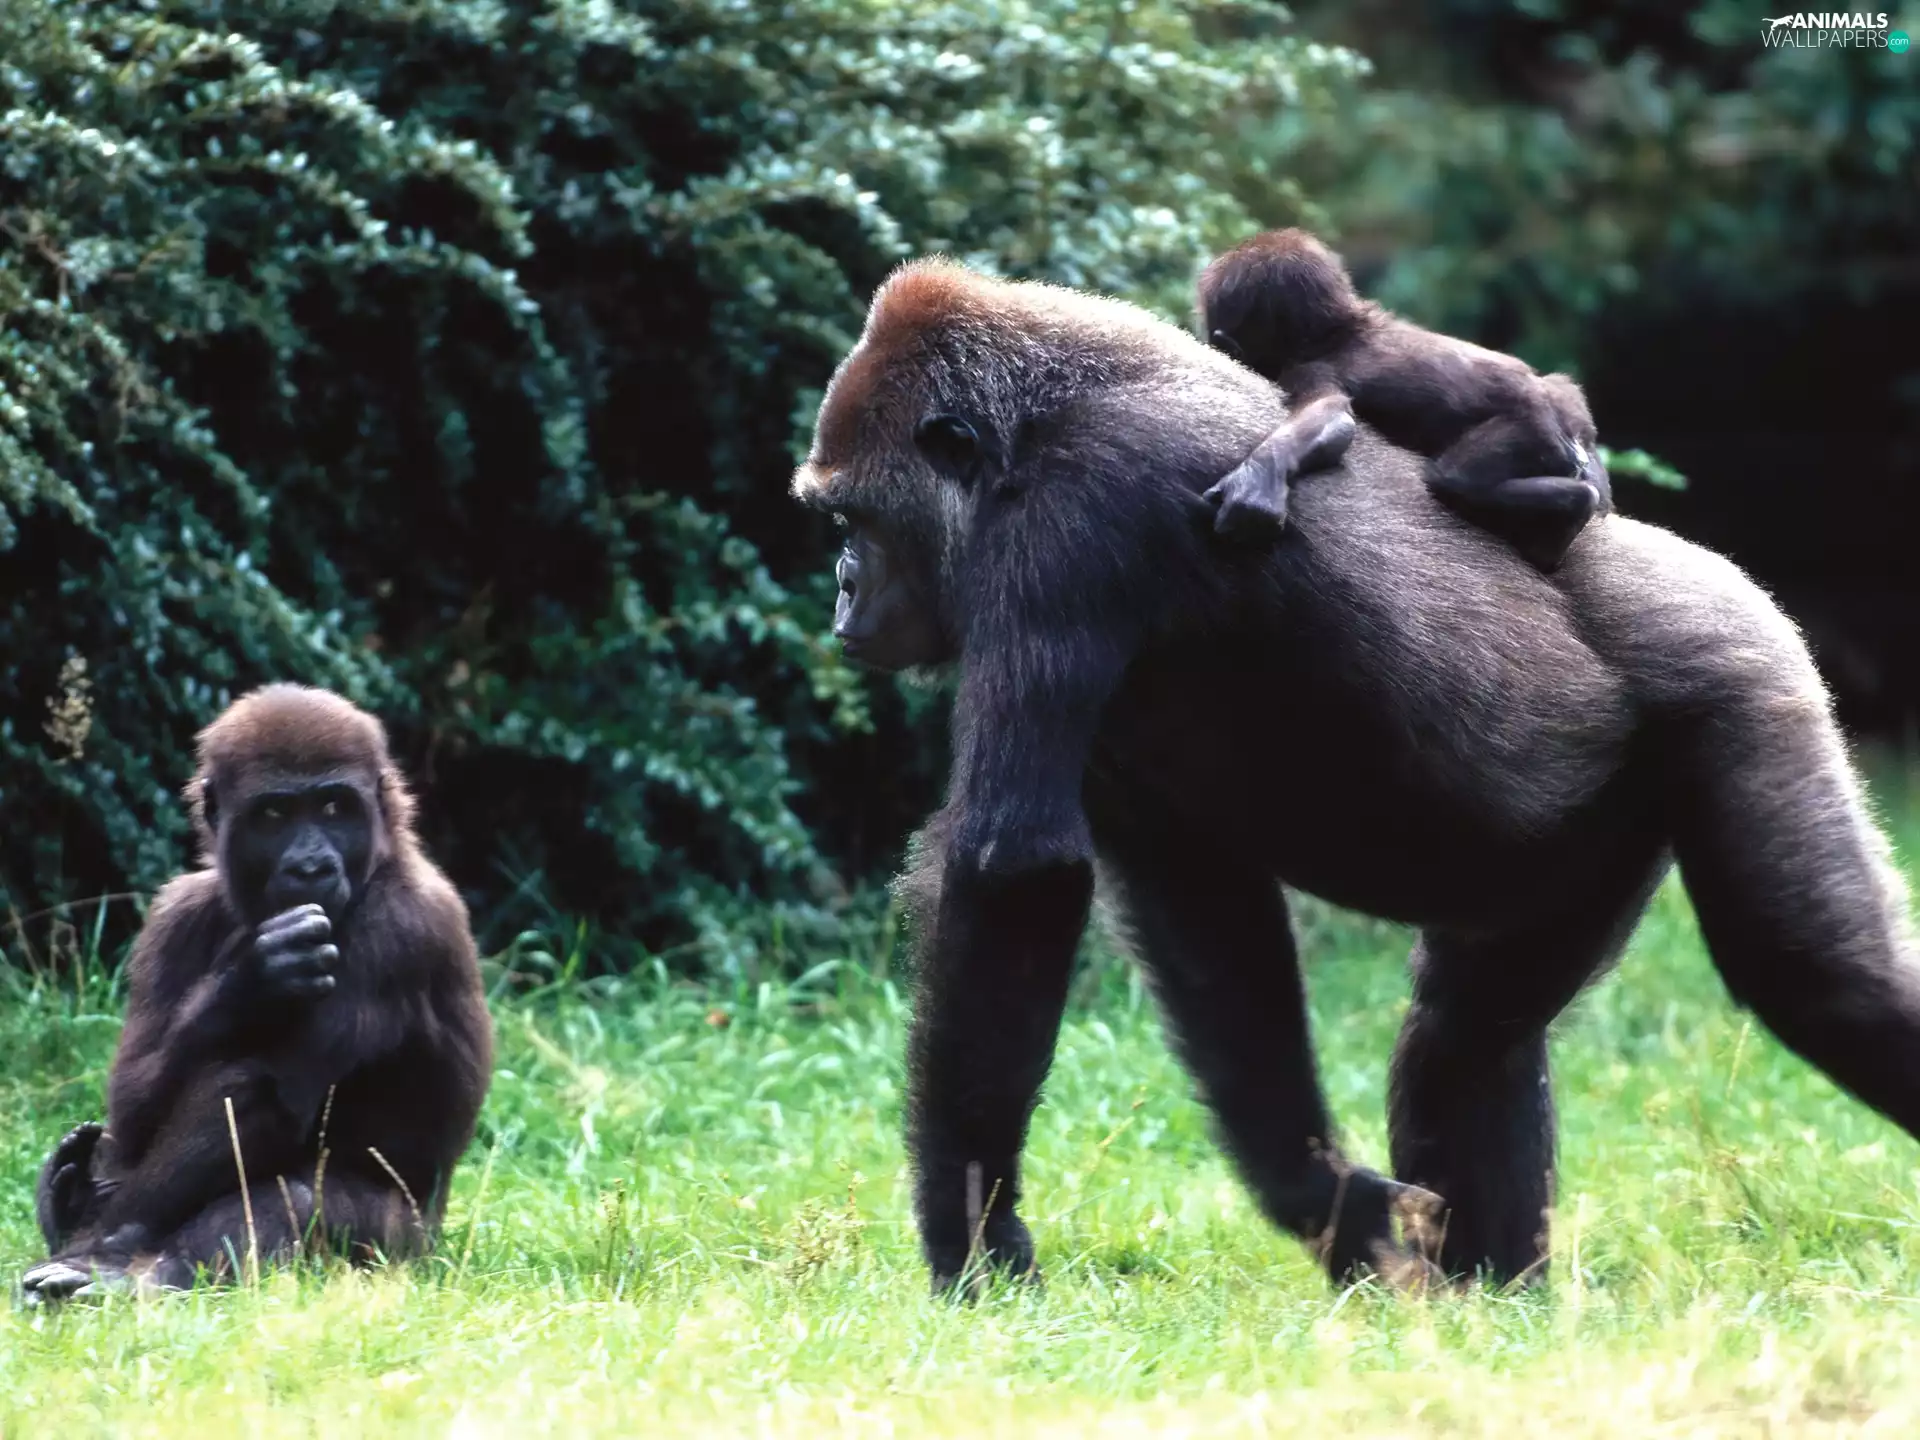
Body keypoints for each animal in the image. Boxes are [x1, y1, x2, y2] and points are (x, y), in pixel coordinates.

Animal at [21, 685, 493, 1300]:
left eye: (334, 808)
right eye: (274, 815)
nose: (312, 866)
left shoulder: (400, 925)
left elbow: (265, 1094)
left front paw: (104, 1245)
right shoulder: (175, 913)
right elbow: (135, 1103)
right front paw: (249, 980)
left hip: (408, 1252)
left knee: (294, 1193)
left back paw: (145, 1269)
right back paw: (71, 1200)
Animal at [1197, 228, 1610, 571]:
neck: (1340, 330)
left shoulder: (1308, 369)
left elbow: (1330, 416)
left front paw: (1257, 479)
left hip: (1531, 429)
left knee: (1454, 480)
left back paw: (1570, 513)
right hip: (1564, 406)